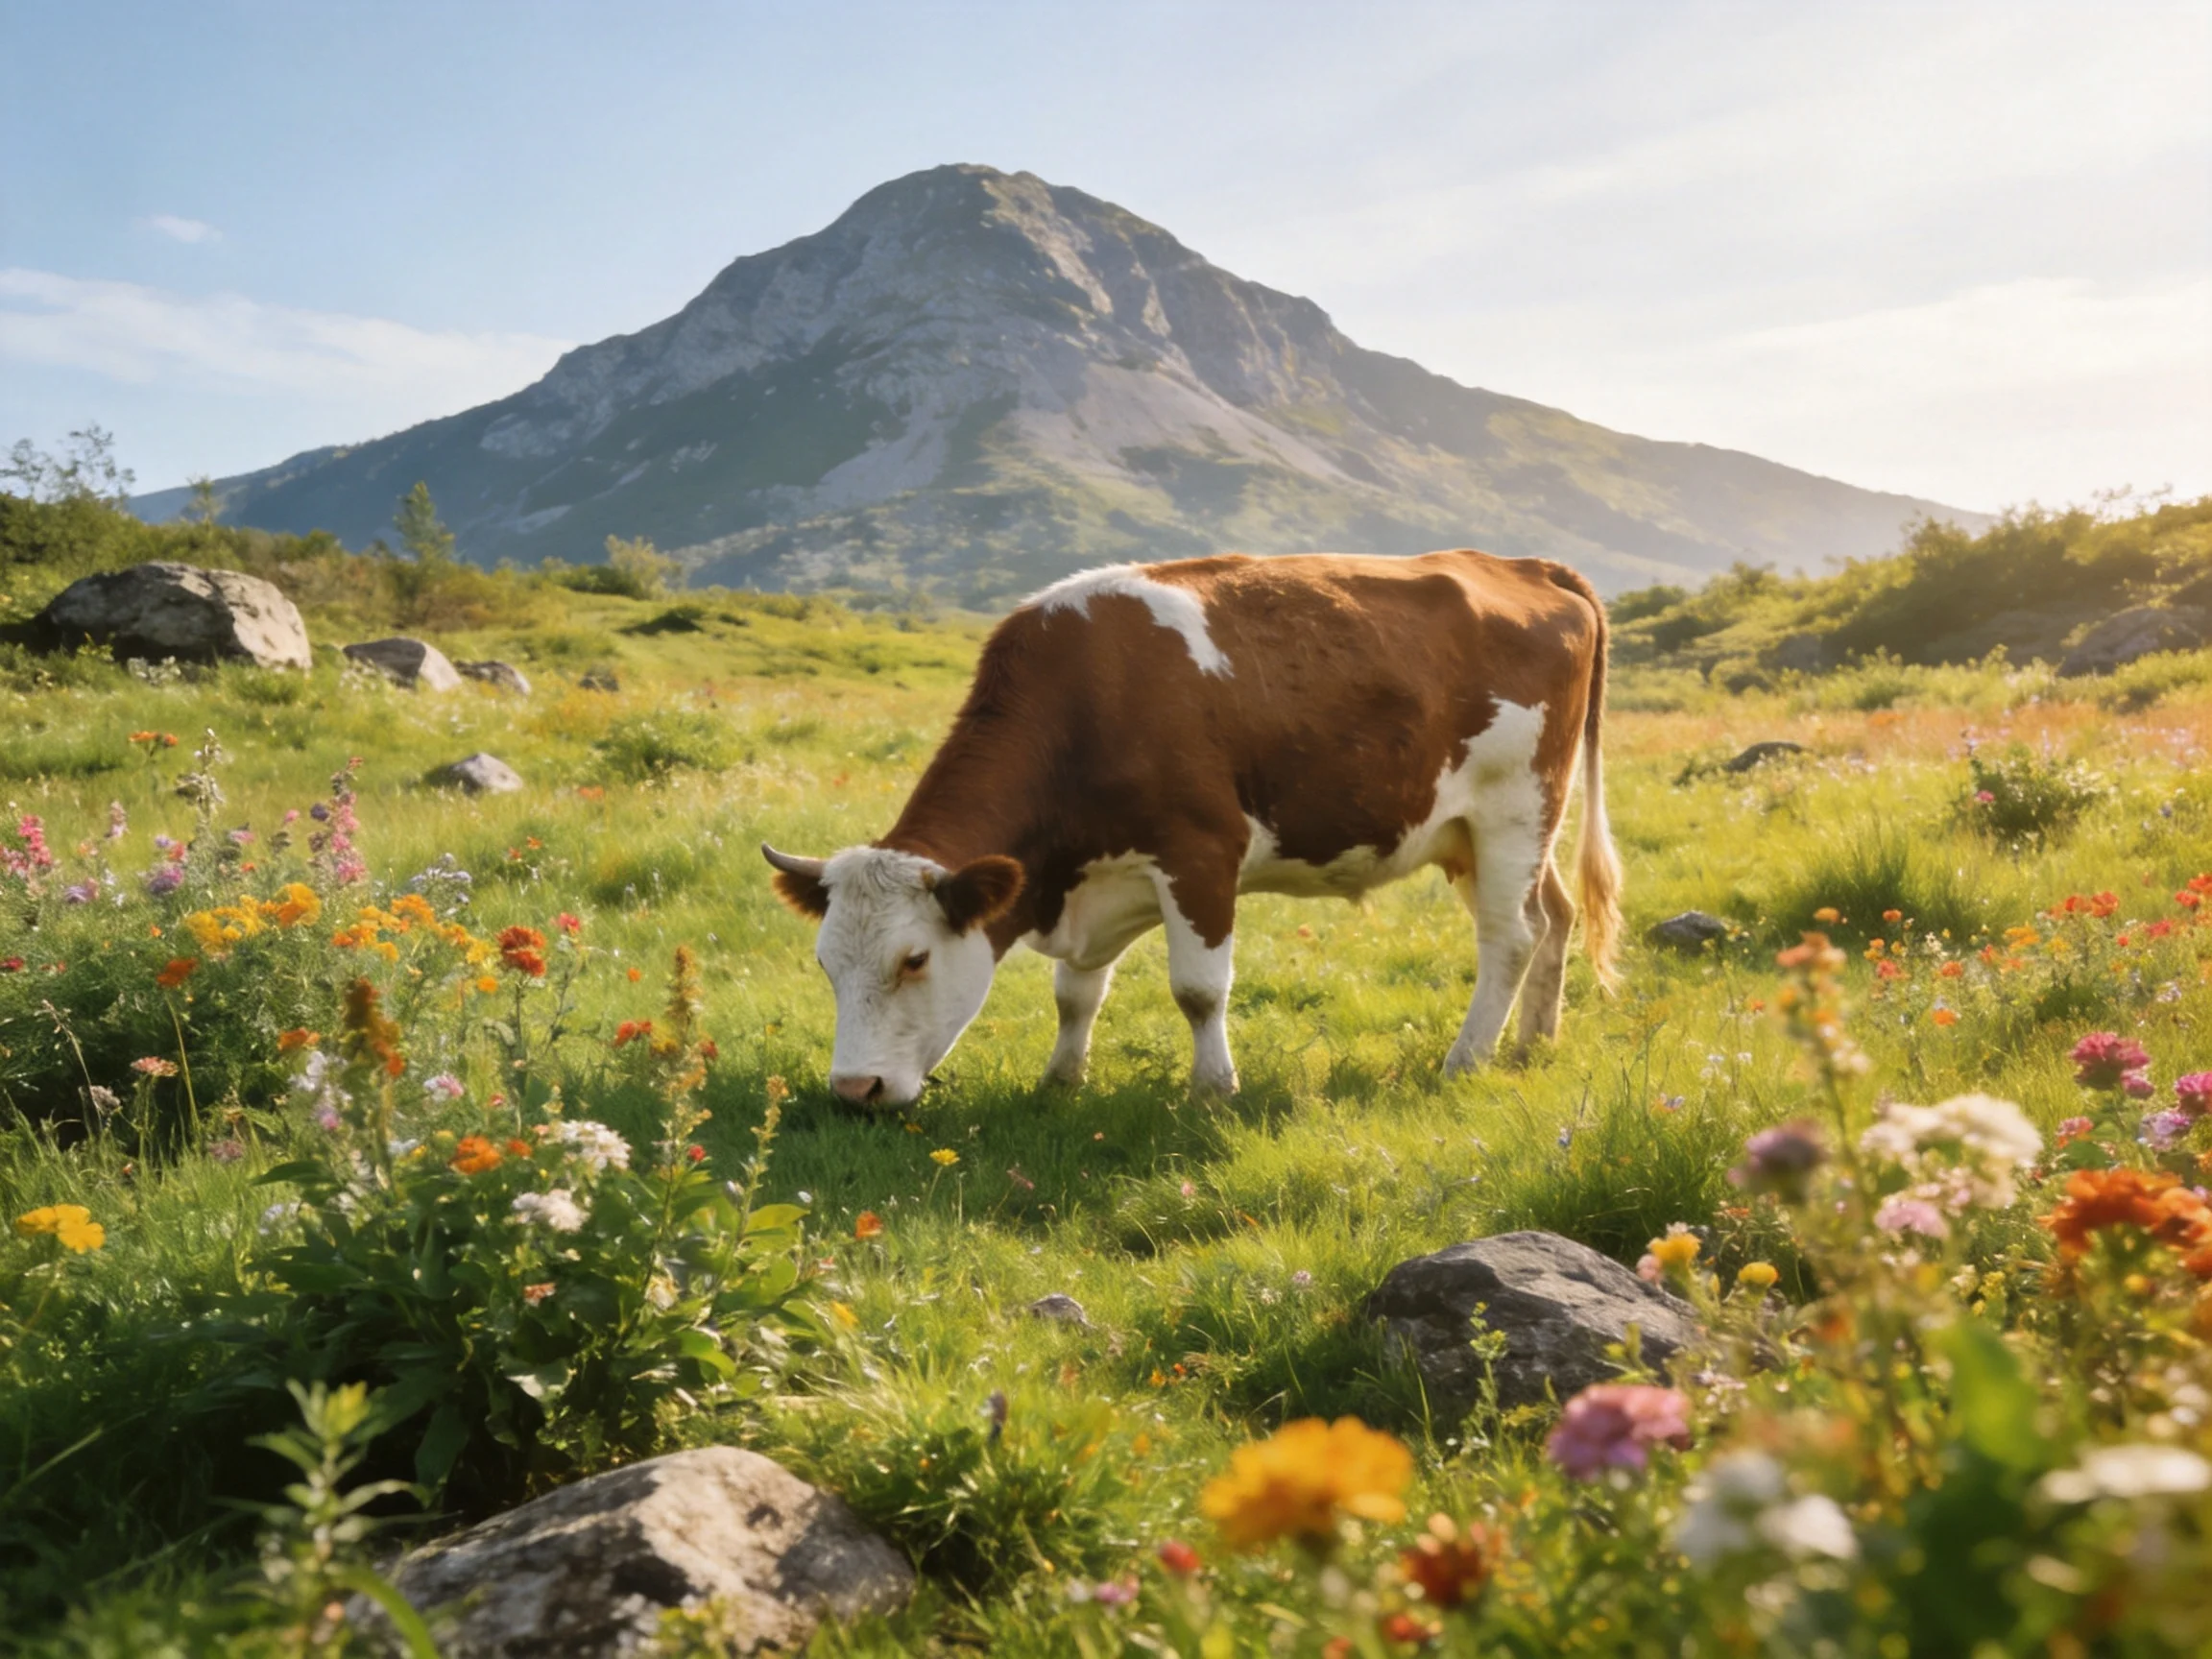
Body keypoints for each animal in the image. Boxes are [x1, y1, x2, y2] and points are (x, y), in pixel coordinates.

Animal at [762, 550, 1621, 1108]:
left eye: (913, 960)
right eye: (824, 963)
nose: (854, 1089)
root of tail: (1527, 565)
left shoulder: (1201, 853)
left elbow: (1199, 990)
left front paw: (1214, 1089)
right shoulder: (1097, 879)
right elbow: (1076, 995)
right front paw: (1061, 1080)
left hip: (1515, 806)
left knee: (1509, 937)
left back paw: (1466, 1061)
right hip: (1479, 832)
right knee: (1554, 917)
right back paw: (1533, 1044)